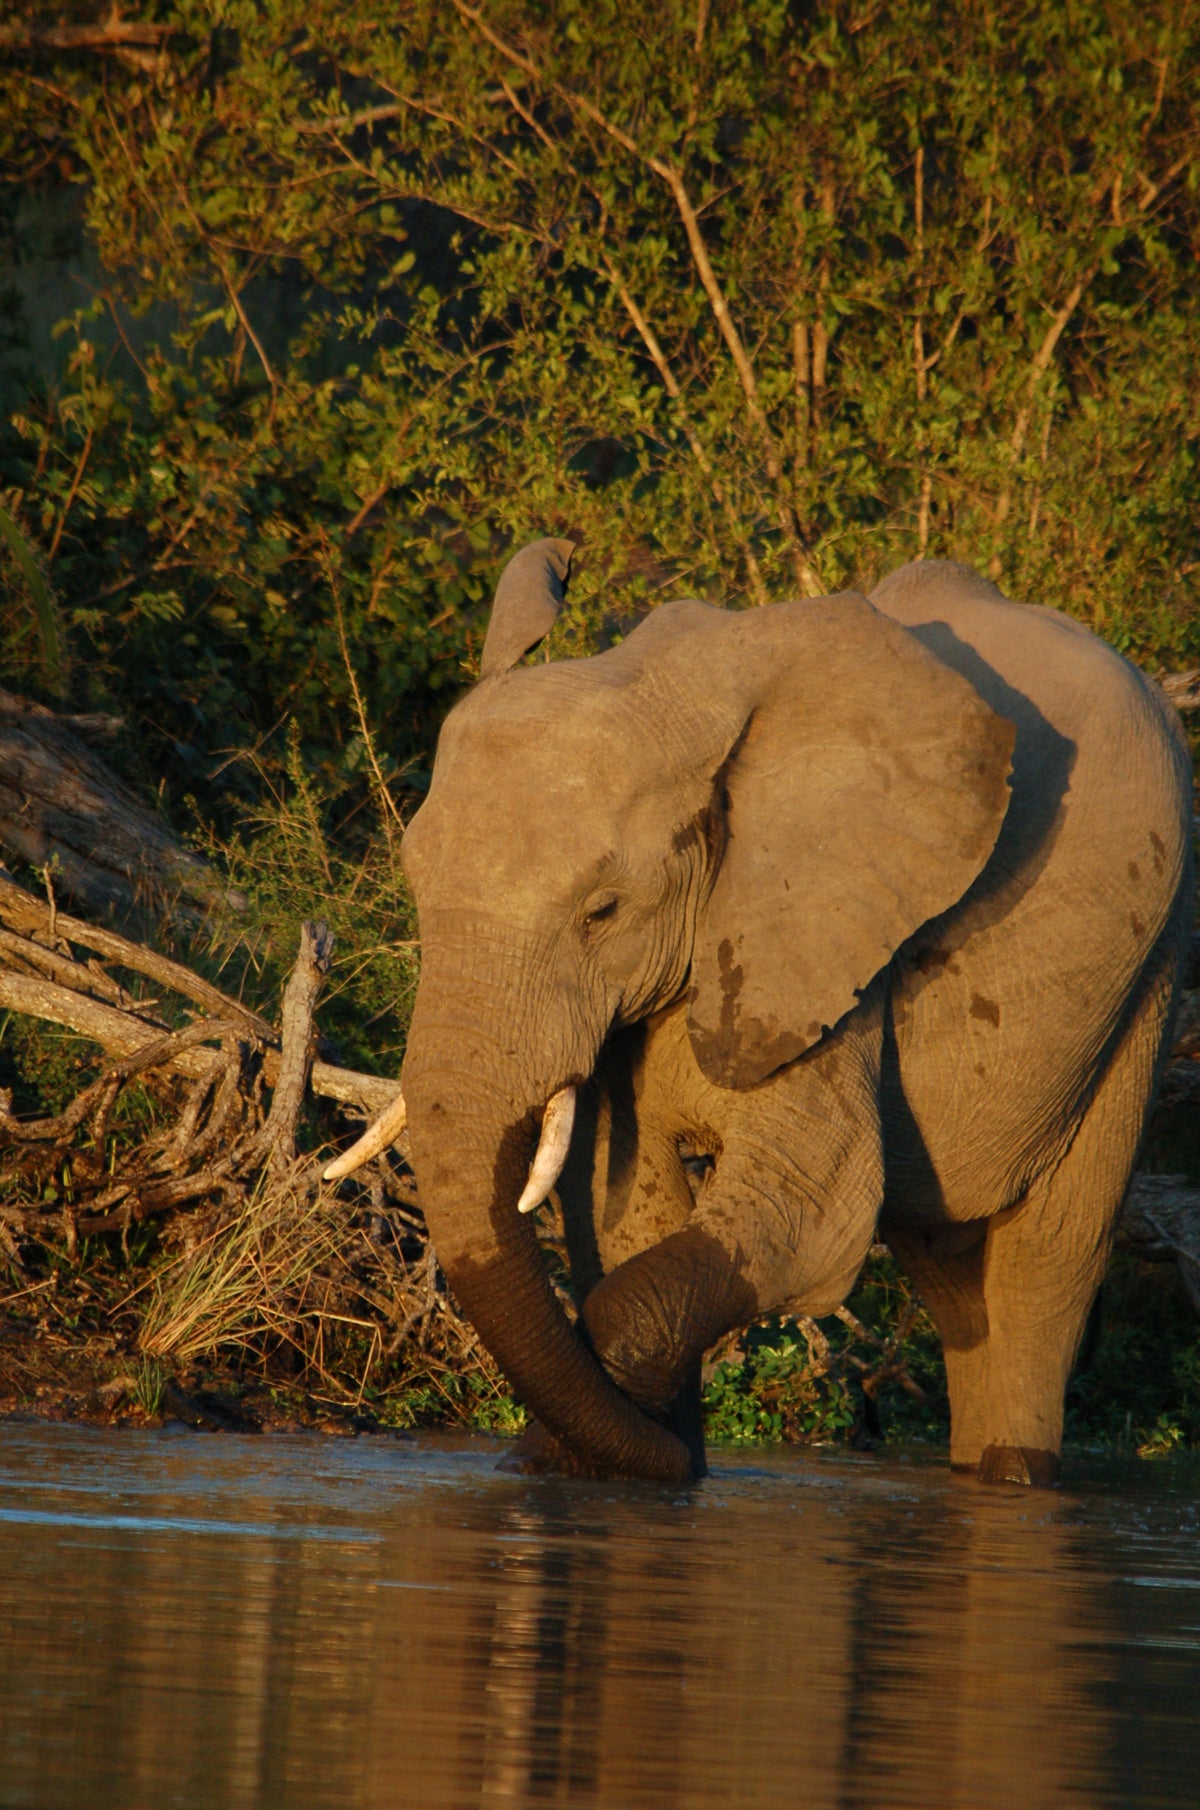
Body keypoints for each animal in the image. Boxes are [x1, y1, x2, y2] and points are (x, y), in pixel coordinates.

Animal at [327, 539, 1194, 1487]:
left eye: (603, 911)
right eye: (415, 883)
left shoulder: (822, 943)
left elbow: (813, 1213)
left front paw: (589, 1459)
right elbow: (624, 1213)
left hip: (1149, 969)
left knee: (1048, 1262)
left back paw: (1015, 1474)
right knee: (952, 1274)